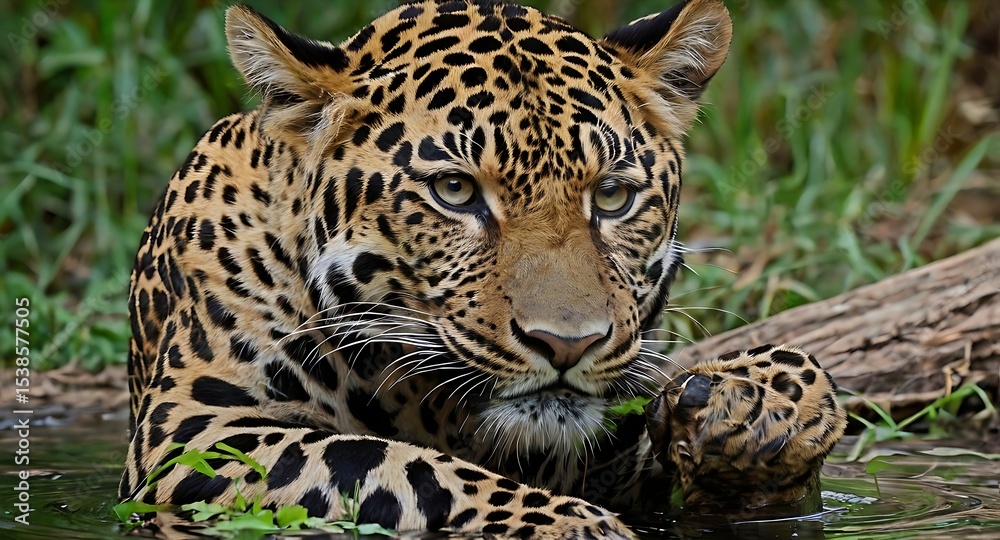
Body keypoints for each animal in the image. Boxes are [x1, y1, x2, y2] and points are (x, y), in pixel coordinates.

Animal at [119, 1, 847, 538]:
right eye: (455, 191)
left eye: (613, 196)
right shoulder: (195, 434)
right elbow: (399, 468)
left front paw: (764, 401)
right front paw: (579, 525)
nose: (568, 344)